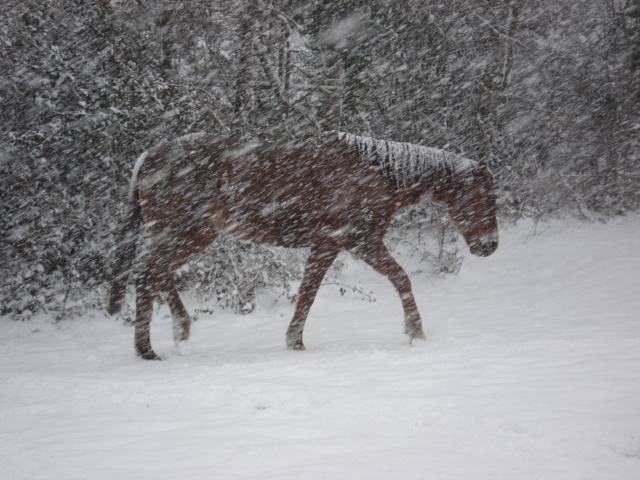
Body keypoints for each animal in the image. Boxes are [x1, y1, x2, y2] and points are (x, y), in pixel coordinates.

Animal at [106, 131, 500, 360]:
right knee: (148, 277)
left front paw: (294, 341)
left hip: (190, 234)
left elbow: (307, 292)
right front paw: (415, 332)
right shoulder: (361, 240)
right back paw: (148, 350)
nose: (490, 246)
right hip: (184, 233)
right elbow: (401, 278)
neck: (378, 172)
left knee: (157, 276)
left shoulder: (327, 245)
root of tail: (147, 158)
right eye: (484, 197)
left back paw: (179, 332)